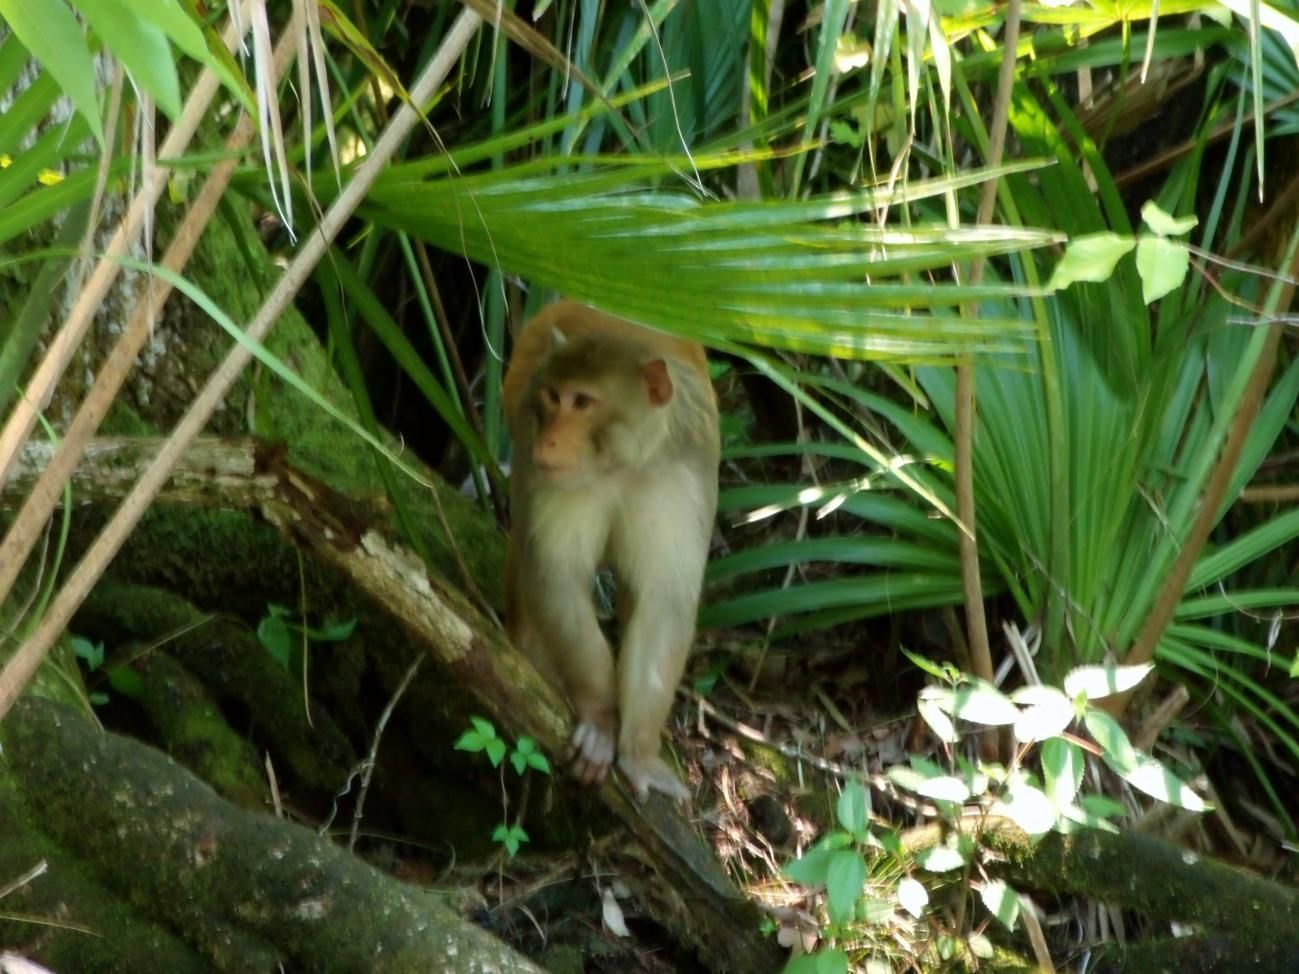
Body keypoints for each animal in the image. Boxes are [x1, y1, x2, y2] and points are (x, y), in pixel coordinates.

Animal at [502, 300, 720, 802]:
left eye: (583, 402)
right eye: (552, 396)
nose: (549, 440)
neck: (625, 461)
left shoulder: (683, 477)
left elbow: (664, 601)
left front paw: (637, 750)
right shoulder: (548, 468)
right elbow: (556, 575)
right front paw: (601, 718)